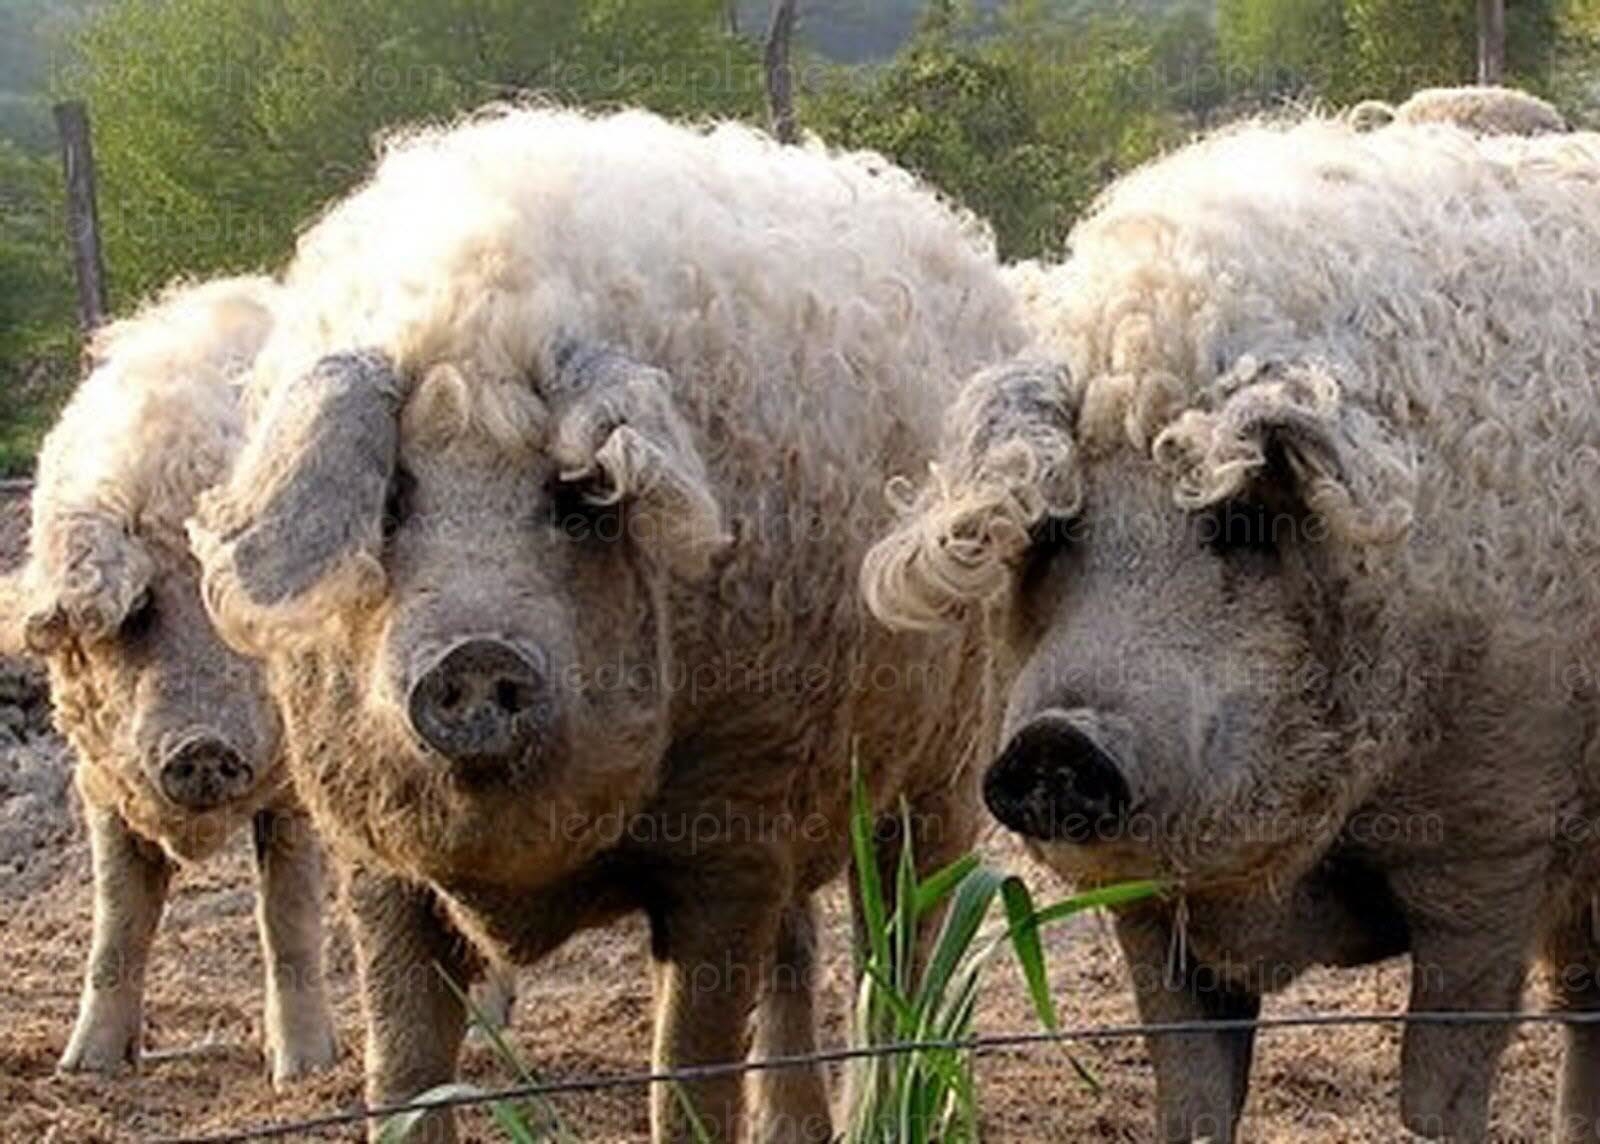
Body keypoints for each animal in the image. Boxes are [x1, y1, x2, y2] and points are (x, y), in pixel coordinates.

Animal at [0, 276, 334, 1081]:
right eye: (138, 609)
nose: (201, 745)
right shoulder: (98, 773)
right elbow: (119, 919)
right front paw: (85, 1068)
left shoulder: (291, 782)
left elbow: (288, 915)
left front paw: (304, 1072)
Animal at [870, 114, 1600, 1139]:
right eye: (1052, 527)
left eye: (1242, 521)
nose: (1058, 740)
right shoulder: (1150, 906)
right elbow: (1193, 1094)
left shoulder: (1495, 837)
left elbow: (1440, 1090)